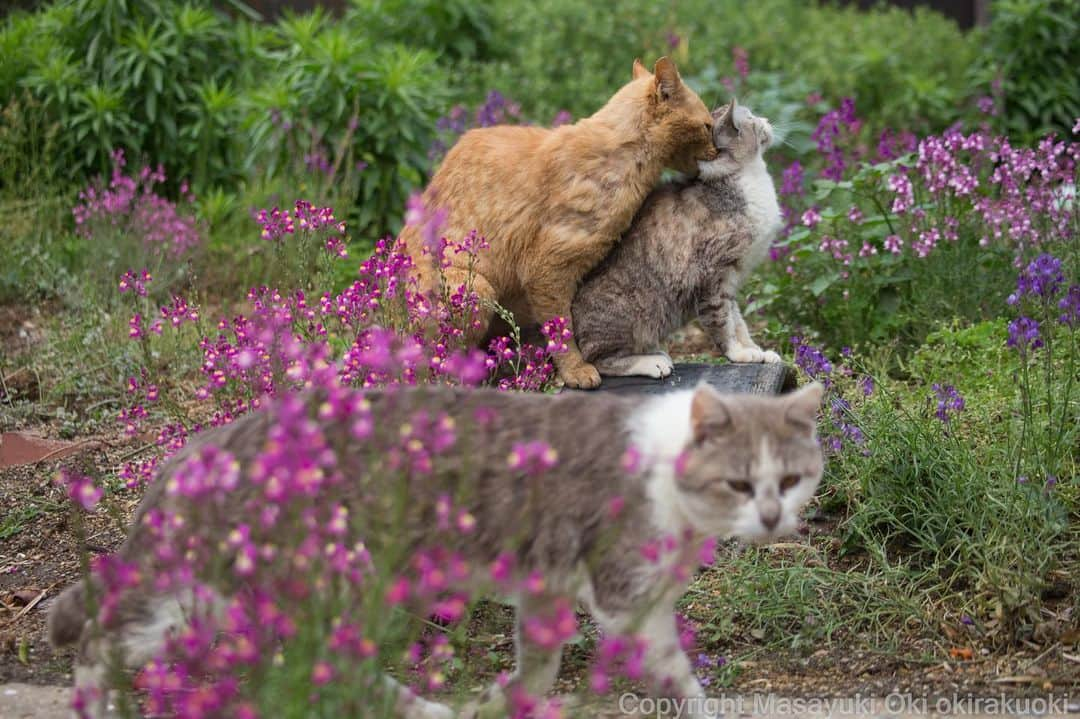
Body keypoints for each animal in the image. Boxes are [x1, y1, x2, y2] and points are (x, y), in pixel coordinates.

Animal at [406, 57, 717, 386]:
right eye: (707, 126)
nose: (717, 148)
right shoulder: (547, 270)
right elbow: (563, 330)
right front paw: (576, 370)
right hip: (477, 288)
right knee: (434, 365)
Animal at [574, 99, 786, 380]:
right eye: (751, 119)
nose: (766, 120)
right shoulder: (713, 277)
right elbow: (722, 322)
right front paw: (738, 353)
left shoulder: (730, 282)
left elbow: (738, 321)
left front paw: (755, 350)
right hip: (629, 317)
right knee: (599, 360)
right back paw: (652, 362)